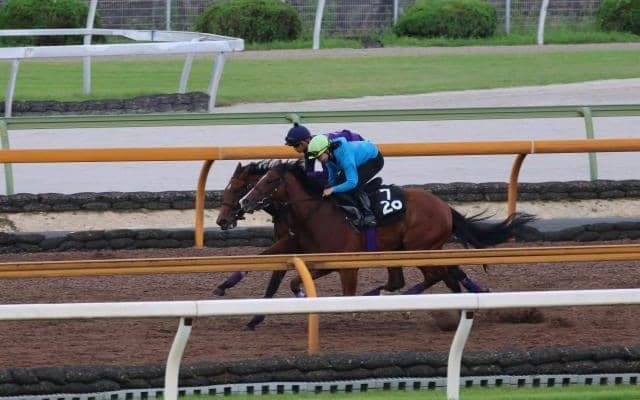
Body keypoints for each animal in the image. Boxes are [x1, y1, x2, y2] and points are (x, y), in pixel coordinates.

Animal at [238, 160, 535, 298]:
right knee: (444, 275)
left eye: (270, 181)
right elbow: (295, 280)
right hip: (417, 248)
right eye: (258, 180)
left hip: (418, 247)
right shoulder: (323, 262)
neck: (318, 214)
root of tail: (444, 206)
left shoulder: (347, 266)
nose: (245, 201)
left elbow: (346, 294)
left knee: (436, 275)